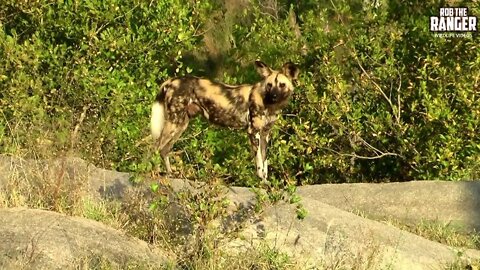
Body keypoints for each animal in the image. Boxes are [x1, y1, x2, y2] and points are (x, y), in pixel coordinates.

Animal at [151, 61, 300, 181]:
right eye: (269, 85)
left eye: (282, 85)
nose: (274, 96)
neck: (269, 104)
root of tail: (171, 81)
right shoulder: (253, 132)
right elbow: (259, 163)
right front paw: (262, 182)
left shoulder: (265, 134)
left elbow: (264, 162)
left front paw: (266, 182)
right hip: (174, 123)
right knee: (156, 147)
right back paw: (153, 173)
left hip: (181, 124)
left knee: (164, 150)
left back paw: (170, 173)